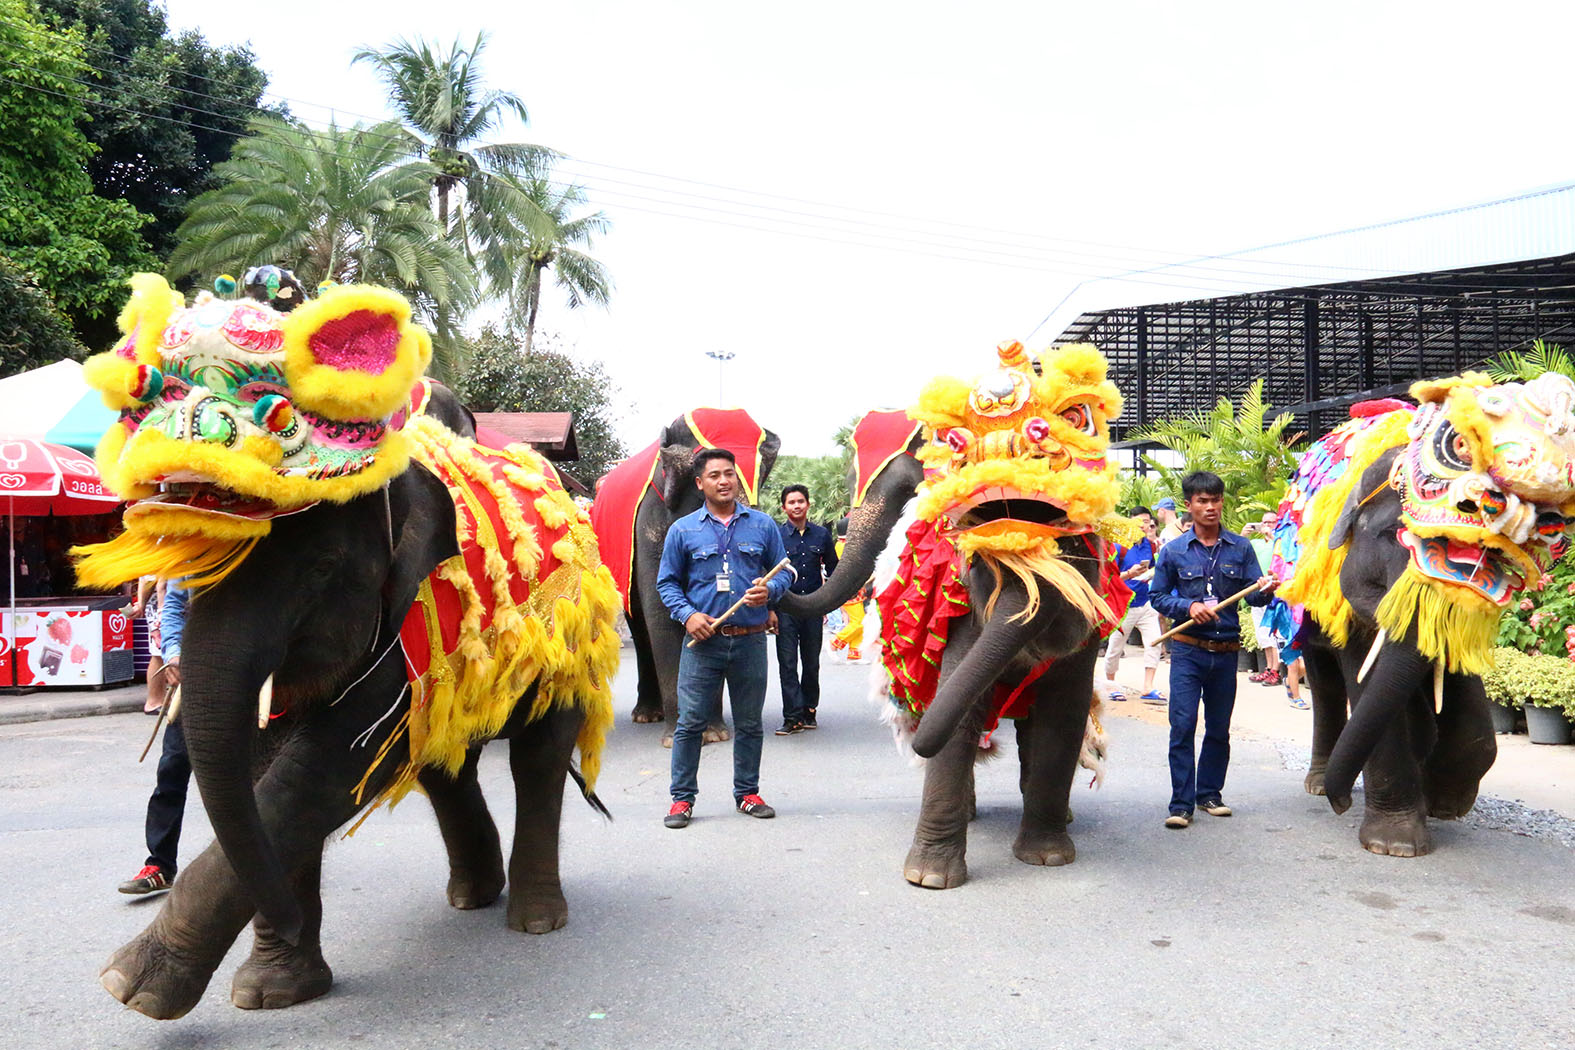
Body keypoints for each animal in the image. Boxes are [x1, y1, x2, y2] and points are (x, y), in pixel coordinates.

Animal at [74, 273, 617, 1020]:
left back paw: (534, 921)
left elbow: (327, 766)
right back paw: (470, 897)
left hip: (566, 641)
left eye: (321, 570)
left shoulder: (406, 612)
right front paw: (274, 993)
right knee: (442, 760)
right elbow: (265, 765)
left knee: (538, 753)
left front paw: (131, 986)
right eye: (187, 566)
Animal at [592, 406, 781, 743]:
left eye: (761, 477)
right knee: (639, 626)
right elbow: (662, 612)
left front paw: (714, 735)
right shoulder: (650, 523)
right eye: (712, 473)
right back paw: (647, 716)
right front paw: (679, 736)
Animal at [1272, 373, 1575, 856]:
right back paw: (1318, 785)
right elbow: (1369, 680)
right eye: (1391, 536)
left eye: (1493, 557)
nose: (1341, 803)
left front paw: (1446, 804)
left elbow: (1464, 703)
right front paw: (1395, 845)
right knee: (1326, 682)